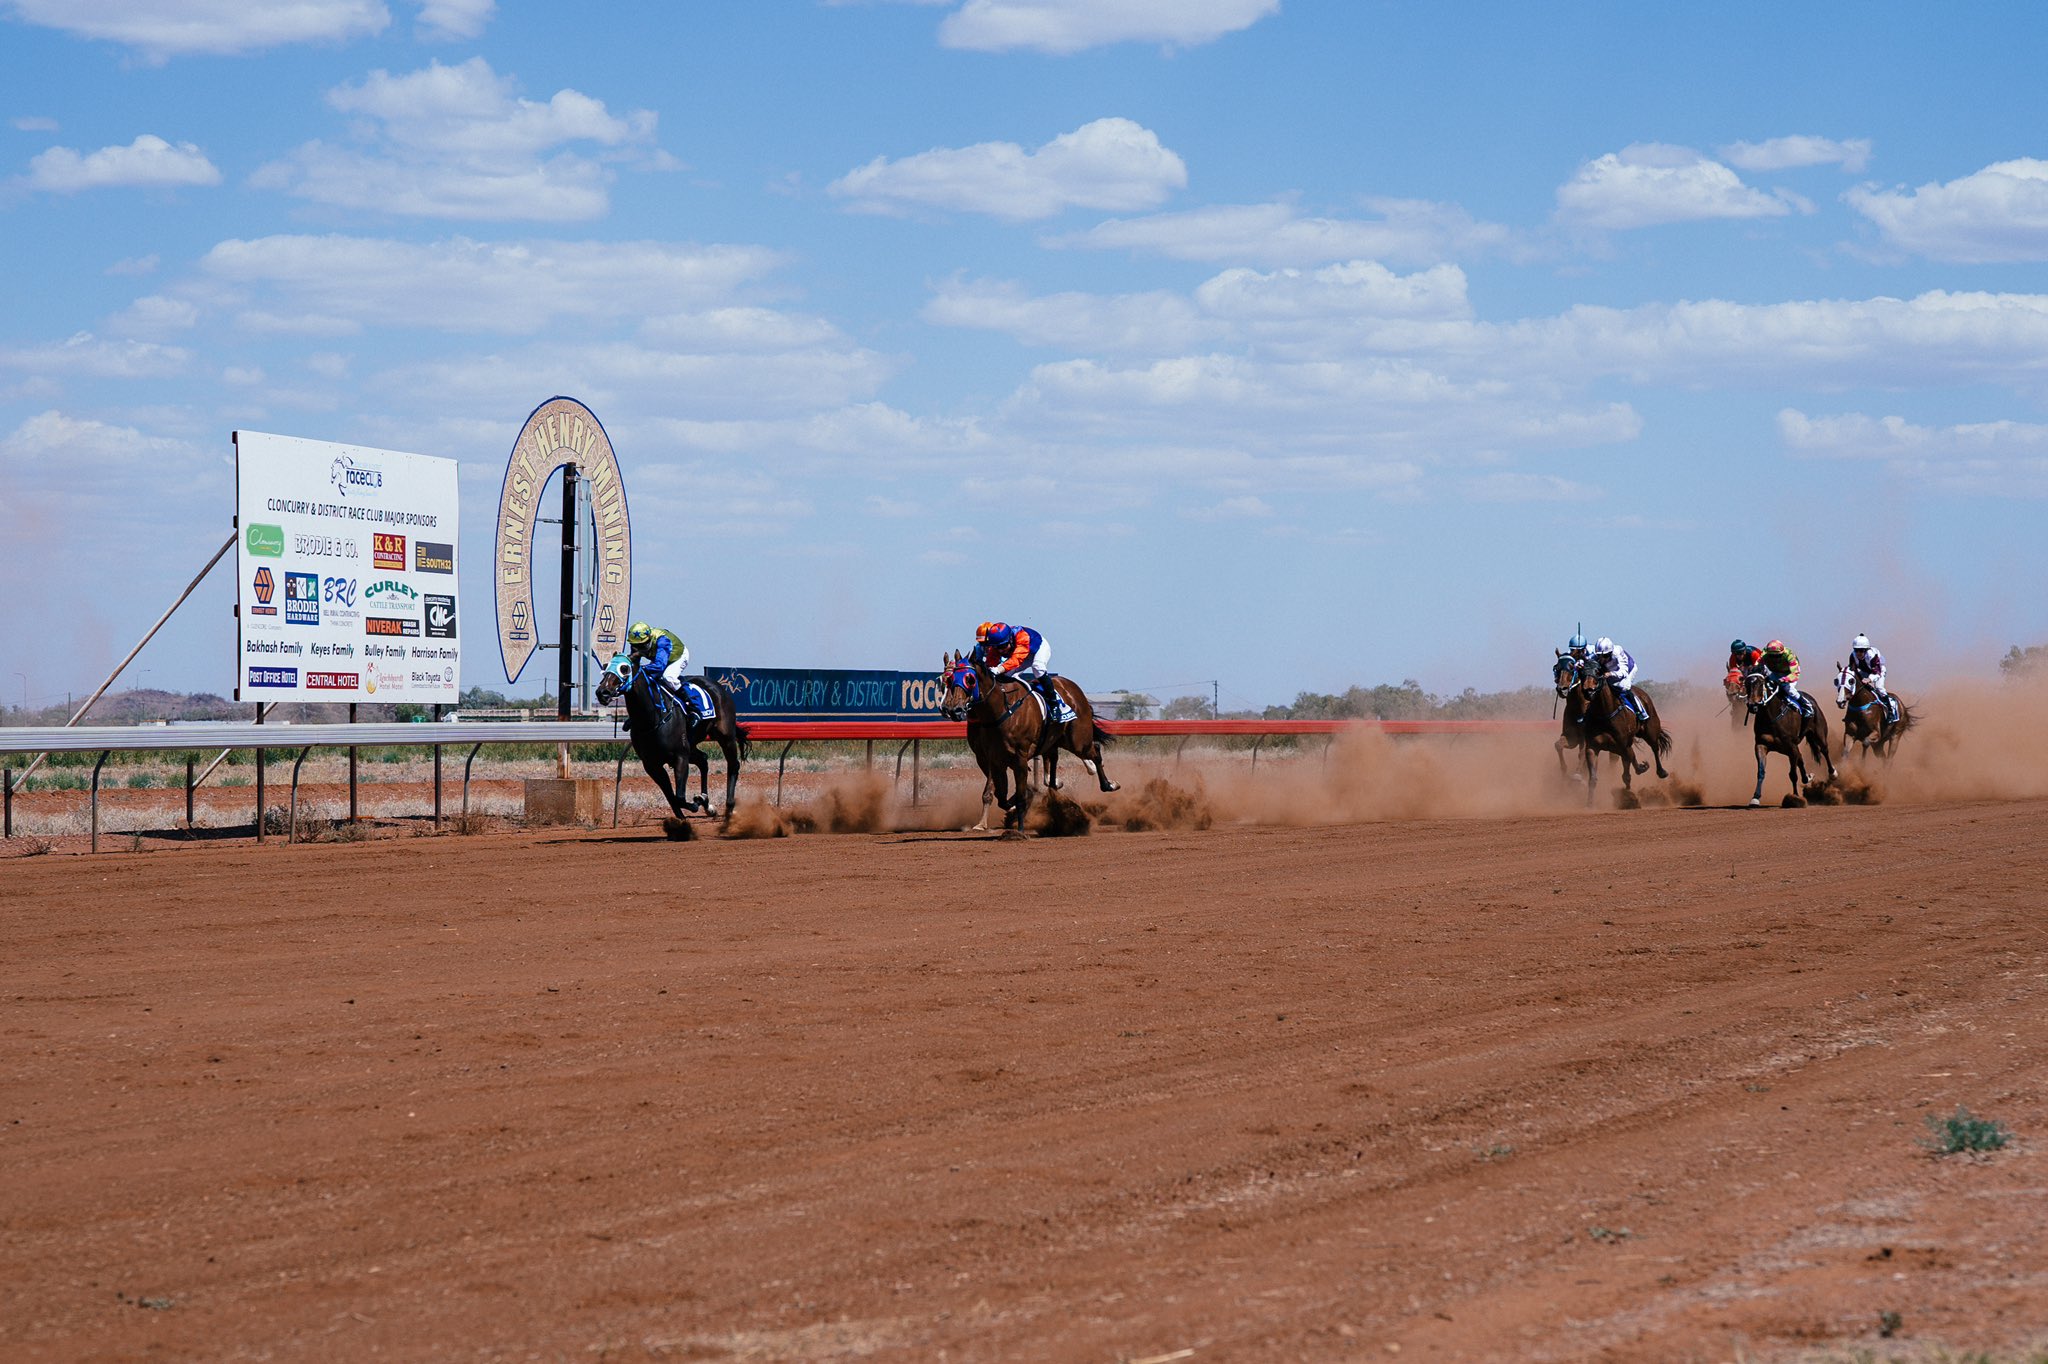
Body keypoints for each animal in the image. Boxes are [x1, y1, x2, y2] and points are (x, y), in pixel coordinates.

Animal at [598, 651, 749, 819]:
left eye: (624, 668)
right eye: (605, 667)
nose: (602, 692)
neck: (652, 718)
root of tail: (718, 687)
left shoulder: (680, 756)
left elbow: (679, 797)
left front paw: (696, 802)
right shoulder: (651, 764)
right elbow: (672, 798)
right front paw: (696, 805)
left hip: (725, 736)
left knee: (733, 765)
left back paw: (729, 806)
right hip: (691, 744)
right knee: (703, 760)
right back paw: (707, 803)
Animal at [933, 647, 1114, 827]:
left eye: (969, 679)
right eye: (944, 680)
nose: (950, 709)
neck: (1000, 711)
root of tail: (1073, 688)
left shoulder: (1015, 755)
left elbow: (1002, 790)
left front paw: (987, 822)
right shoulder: (987, 757)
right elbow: (999, 792)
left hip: (1077, 740)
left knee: (1094, 750)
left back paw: (1108, 783)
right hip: (1055, 741)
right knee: (1054, 760)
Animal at [1572, 655, 1671, 798]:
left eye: (1598, 672)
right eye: (1582, 673)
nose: (1588, 690)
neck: (1605, 714)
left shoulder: (1623, 745)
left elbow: (1628, 769)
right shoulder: (1592, 747)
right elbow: (1594, 778)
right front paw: (1589, 801)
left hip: (1650, 730)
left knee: (1654, 747)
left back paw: (1661, 771)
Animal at [1744, 663, 1843, 802]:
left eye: (1760, 683)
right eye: (1746, 683)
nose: (1752, 705)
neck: (1772, 716)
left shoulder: (1790, 746)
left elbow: (1793, 774)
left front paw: (1795, 797)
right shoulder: (1761, 744)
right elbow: (1761, 772)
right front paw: (1755, 797)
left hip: (1819, 733)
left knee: (1824, 750)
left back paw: (1833, 773)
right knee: (1801, 758)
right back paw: (1807, 777)